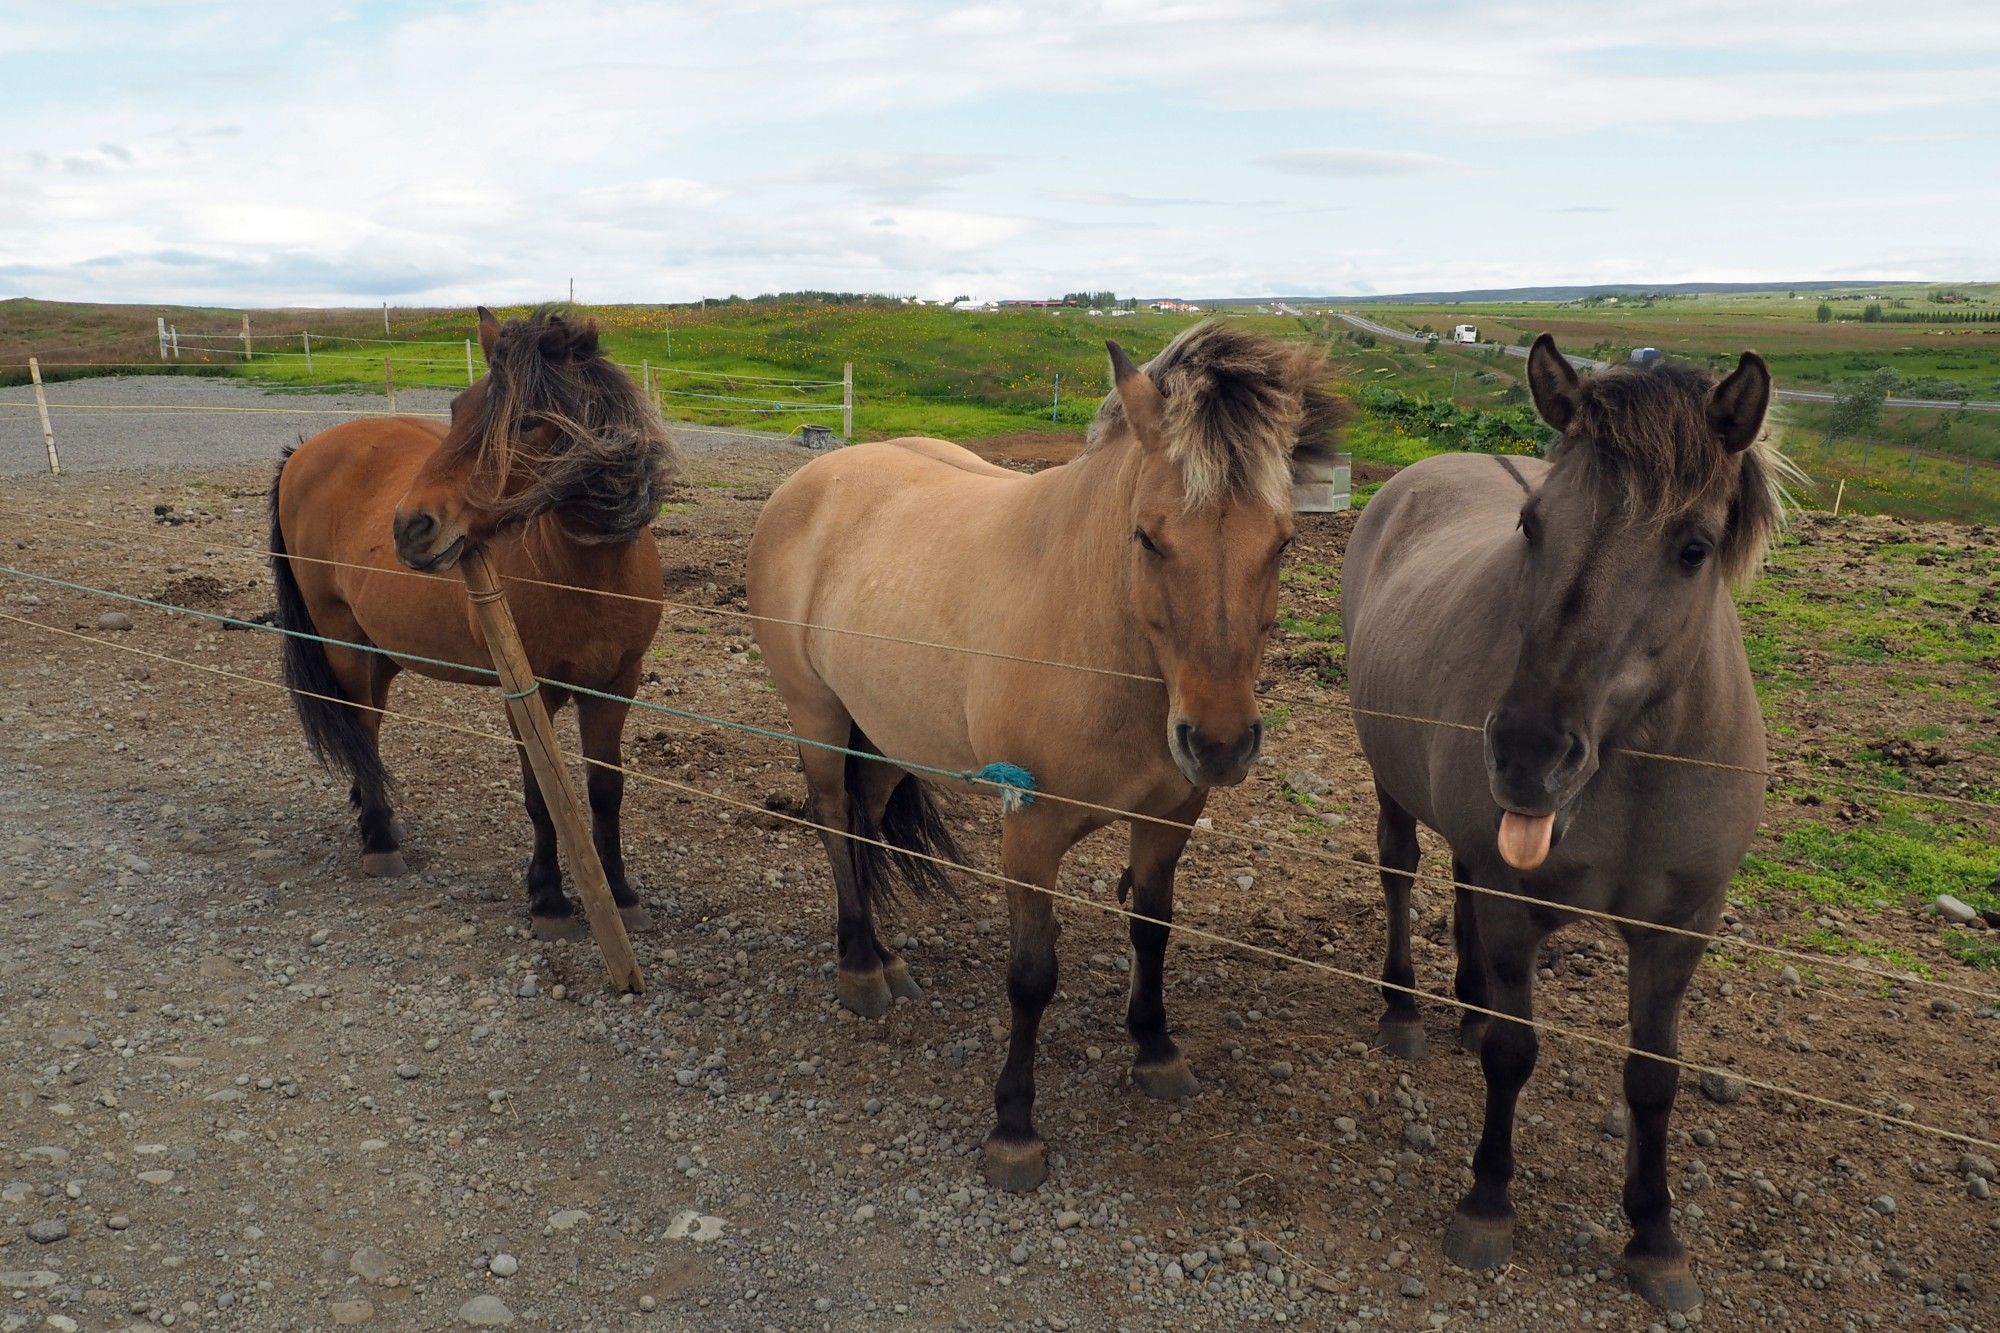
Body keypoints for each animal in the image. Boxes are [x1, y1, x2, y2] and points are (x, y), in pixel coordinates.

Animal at [270, 308, 684, 932]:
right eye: (457, 408)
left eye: (531, 423)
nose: (411, 526)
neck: (587, 578)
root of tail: (304, 452)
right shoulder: (526, 694)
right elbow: (541, 795)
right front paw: (549, 898)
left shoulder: (615, 688)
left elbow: (606, 790)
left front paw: (620, 894)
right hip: (341, 640)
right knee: (359, 724)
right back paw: (379, 840)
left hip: (379, 649)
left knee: (368, 725)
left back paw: (369, 812)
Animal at [748, 320, 1344, 1184]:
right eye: (1148, 537)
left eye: (1285, 541)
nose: (1219, 743)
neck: (1100, 636)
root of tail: (813, 478)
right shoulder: (1029, 833)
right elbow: (1032, 977)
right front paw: (1014, 1125)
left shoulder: (1171, 816)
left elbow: (1152, 929)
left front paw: (1155, 1048)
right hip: (818, 715)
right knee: (833, 820)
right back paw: (859, 969)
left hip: (890, 730)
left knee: (862, 821)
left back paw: (884, 957)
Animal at [1344, 334, 1784, 1304]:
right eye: (1534, 526)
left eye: (1693, 547)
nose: (1526, 751)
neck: (1635, 760)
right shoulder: (1518, 905)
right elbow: (1516, 1053)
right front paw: (1487, 1201)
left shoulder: (1680, 929)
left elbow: (1654, 1077)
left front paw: (1656, 1237)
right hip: (1391, 783)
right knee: (1401, 871)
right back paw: (1406, 1009)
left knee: (1461, 880)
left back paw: (1468, 1003)